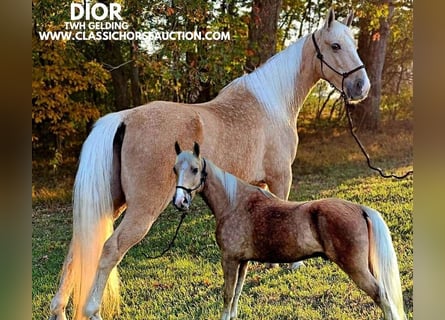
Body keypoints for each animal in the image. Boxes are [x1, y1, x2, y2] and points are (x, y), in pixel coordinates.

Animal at [48, 8, 370, 320]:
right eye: (335, 46)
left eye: (353, 45)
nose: (361, 87)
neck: (271, 104)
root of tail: (124, 117)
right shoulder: (281, 177)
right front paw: (292, 265)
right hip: (142, 210)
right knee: (110, 249)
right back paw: (92, 311)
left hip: (114, 203)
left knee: (77, 248)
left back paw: (59, 309)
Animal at [173, 144, 406, 320]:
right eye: (175, 169)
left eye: (195, 169)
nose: (180, 202)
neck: (234, 203)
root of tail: (360, 209)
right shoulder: (242, 261)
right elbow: (237, 293)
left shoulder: (229, 260)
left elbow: (228, 294)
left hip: (357, 269)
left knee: (382, 297)